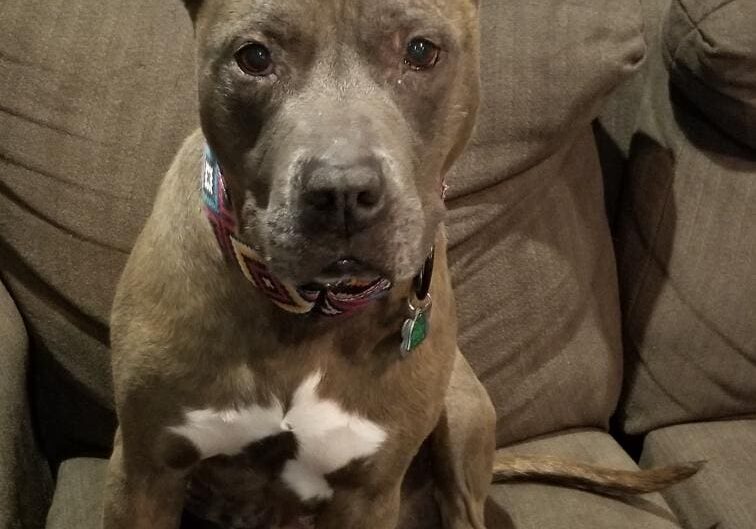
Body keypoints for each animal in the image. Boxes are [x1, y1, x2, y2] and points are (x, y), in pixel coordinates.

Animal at [103, 1, 700, 528]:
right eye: (253, 57)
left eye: (421, 51)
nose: (343, 193)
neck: (312, 310)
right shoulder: (144, 471)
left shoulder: (367, 494)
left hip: (461, 410)